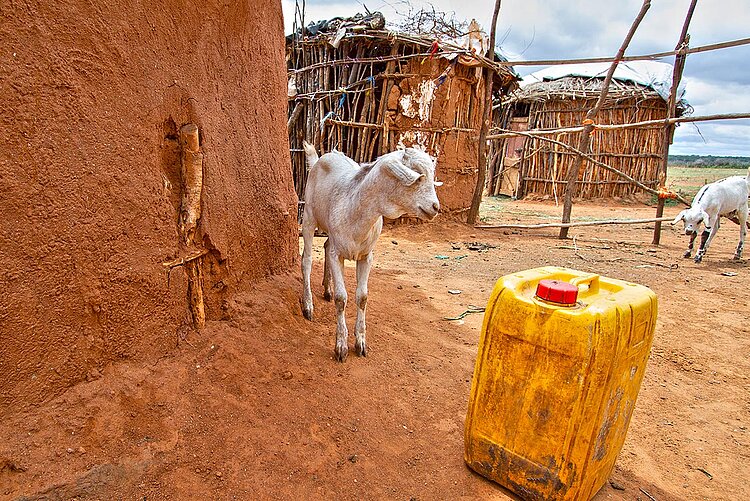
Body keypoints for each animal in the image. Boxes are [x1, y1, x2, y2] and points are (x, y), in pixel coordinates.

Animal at [300, 143, 440, 362]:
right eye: (418, 176)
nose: (435, 207)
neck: (356, 209)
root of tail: (320, 159)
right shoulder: (337, 255)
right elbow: (342, 298)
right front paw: (341, 346)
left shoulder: (367, 256)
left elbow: (362, 297)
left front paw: (360, 343)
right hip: (308, 216)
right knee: (306, 260)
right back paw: (308, 306)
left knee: (326, 245)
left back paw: (327, 289)